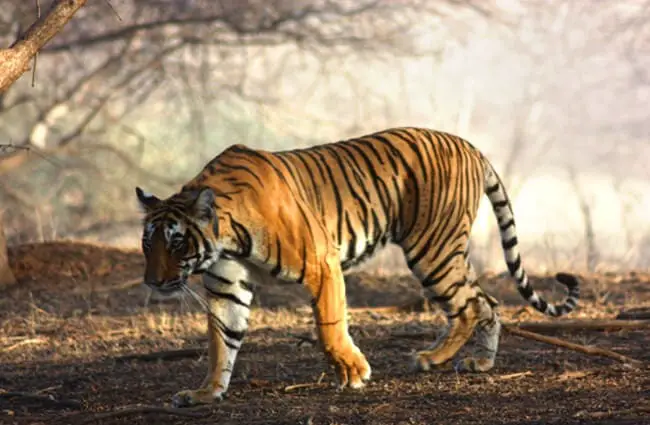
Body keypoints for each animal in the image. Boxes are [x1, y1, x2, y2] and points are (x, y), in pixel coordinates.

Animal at [135, 126, 576, 408]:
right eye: (148, 242)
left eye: (176, 241)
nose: (152, 282)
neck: (225, 241)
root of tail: (470, 146)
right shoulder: (226, 288)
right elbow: (220, 343)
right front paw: (206, 393)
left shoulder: (322, 263)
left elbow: (329, 326)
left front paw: (353, 371)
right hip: (446, 251)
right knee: (487, 302)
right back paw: (479, 362)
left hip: (431, 250)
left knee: (468, 306)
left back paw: (430, 359)